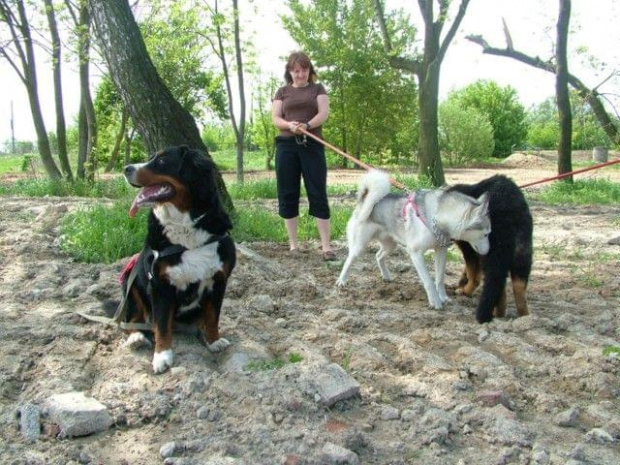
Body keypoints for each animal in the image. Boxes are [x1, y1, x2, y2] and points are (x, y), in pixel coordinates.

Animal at [120, 146, 235, 374]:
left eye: (162, 160)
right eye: (151, 157)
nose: (127, 168)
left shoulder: (218, 281)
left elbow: (213, 316)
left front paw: (214, 340)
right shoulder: (160, 285)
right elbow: (162, 326)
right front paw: (162, 356)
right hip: (132, 279)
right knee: (133, 318)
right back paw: (136, 337)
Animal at [448, 174, 536, 322]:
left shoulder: (469, 249)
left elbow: (472, 273)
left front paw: (464, 289)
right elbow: (469, 271)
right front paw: (461, 284)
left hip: (492, 256)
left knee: (496, 284)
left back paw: (493, 312)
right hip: (521, 254)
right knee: (515, 287)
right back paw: (524, 317)